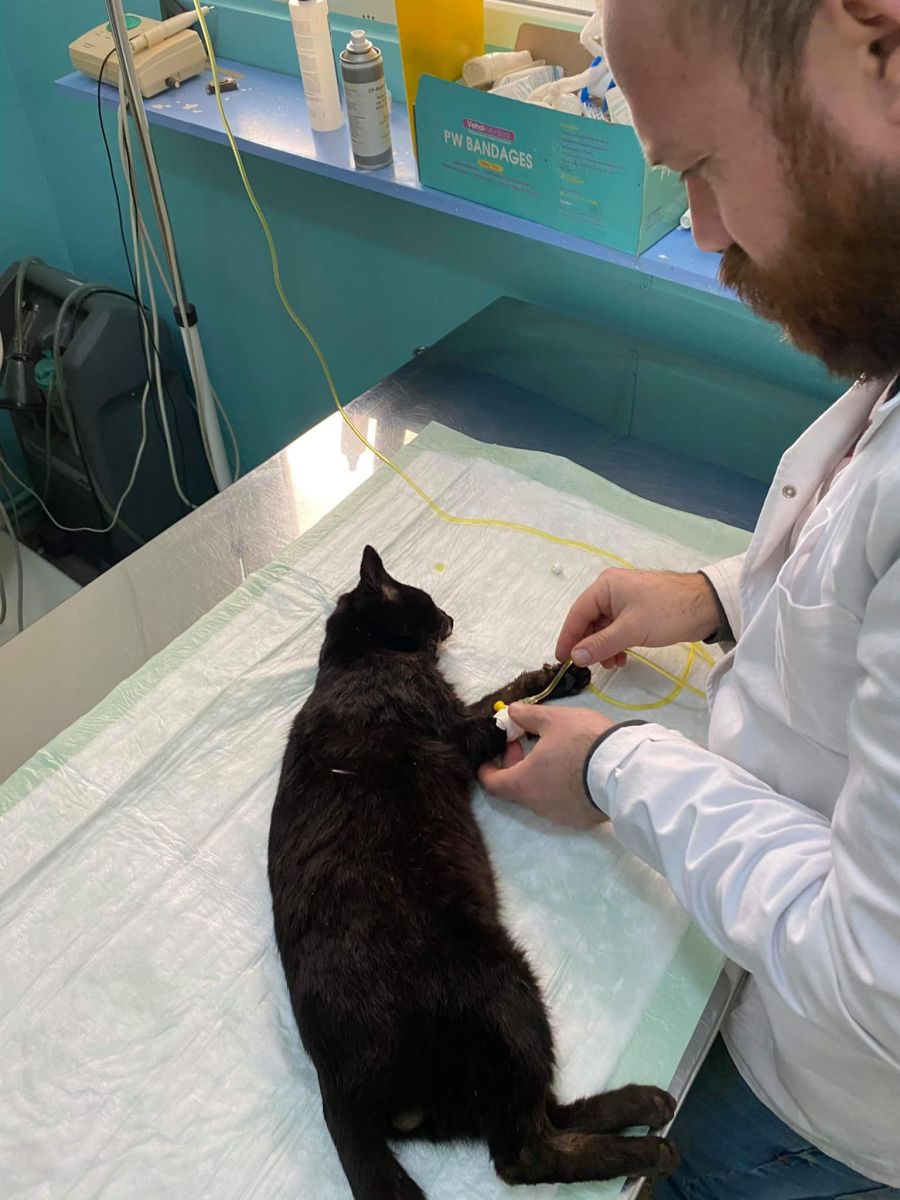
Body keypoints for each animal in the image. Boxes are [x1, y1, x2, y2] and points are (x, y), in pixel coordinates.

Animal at [268, 546, 679, 1199]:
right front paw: (543, 694)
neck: (351, 662)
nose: (451, 617)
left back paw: (640, 1103)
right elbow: (498, 713)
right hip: (507, 990)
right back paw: (647, 1149)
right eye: (426, 602)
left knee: (545, 1115)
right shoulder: (451, 733)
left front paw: (562, 674)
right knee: (525, 1152)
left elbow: (501, 695)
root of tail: (339, 1094)